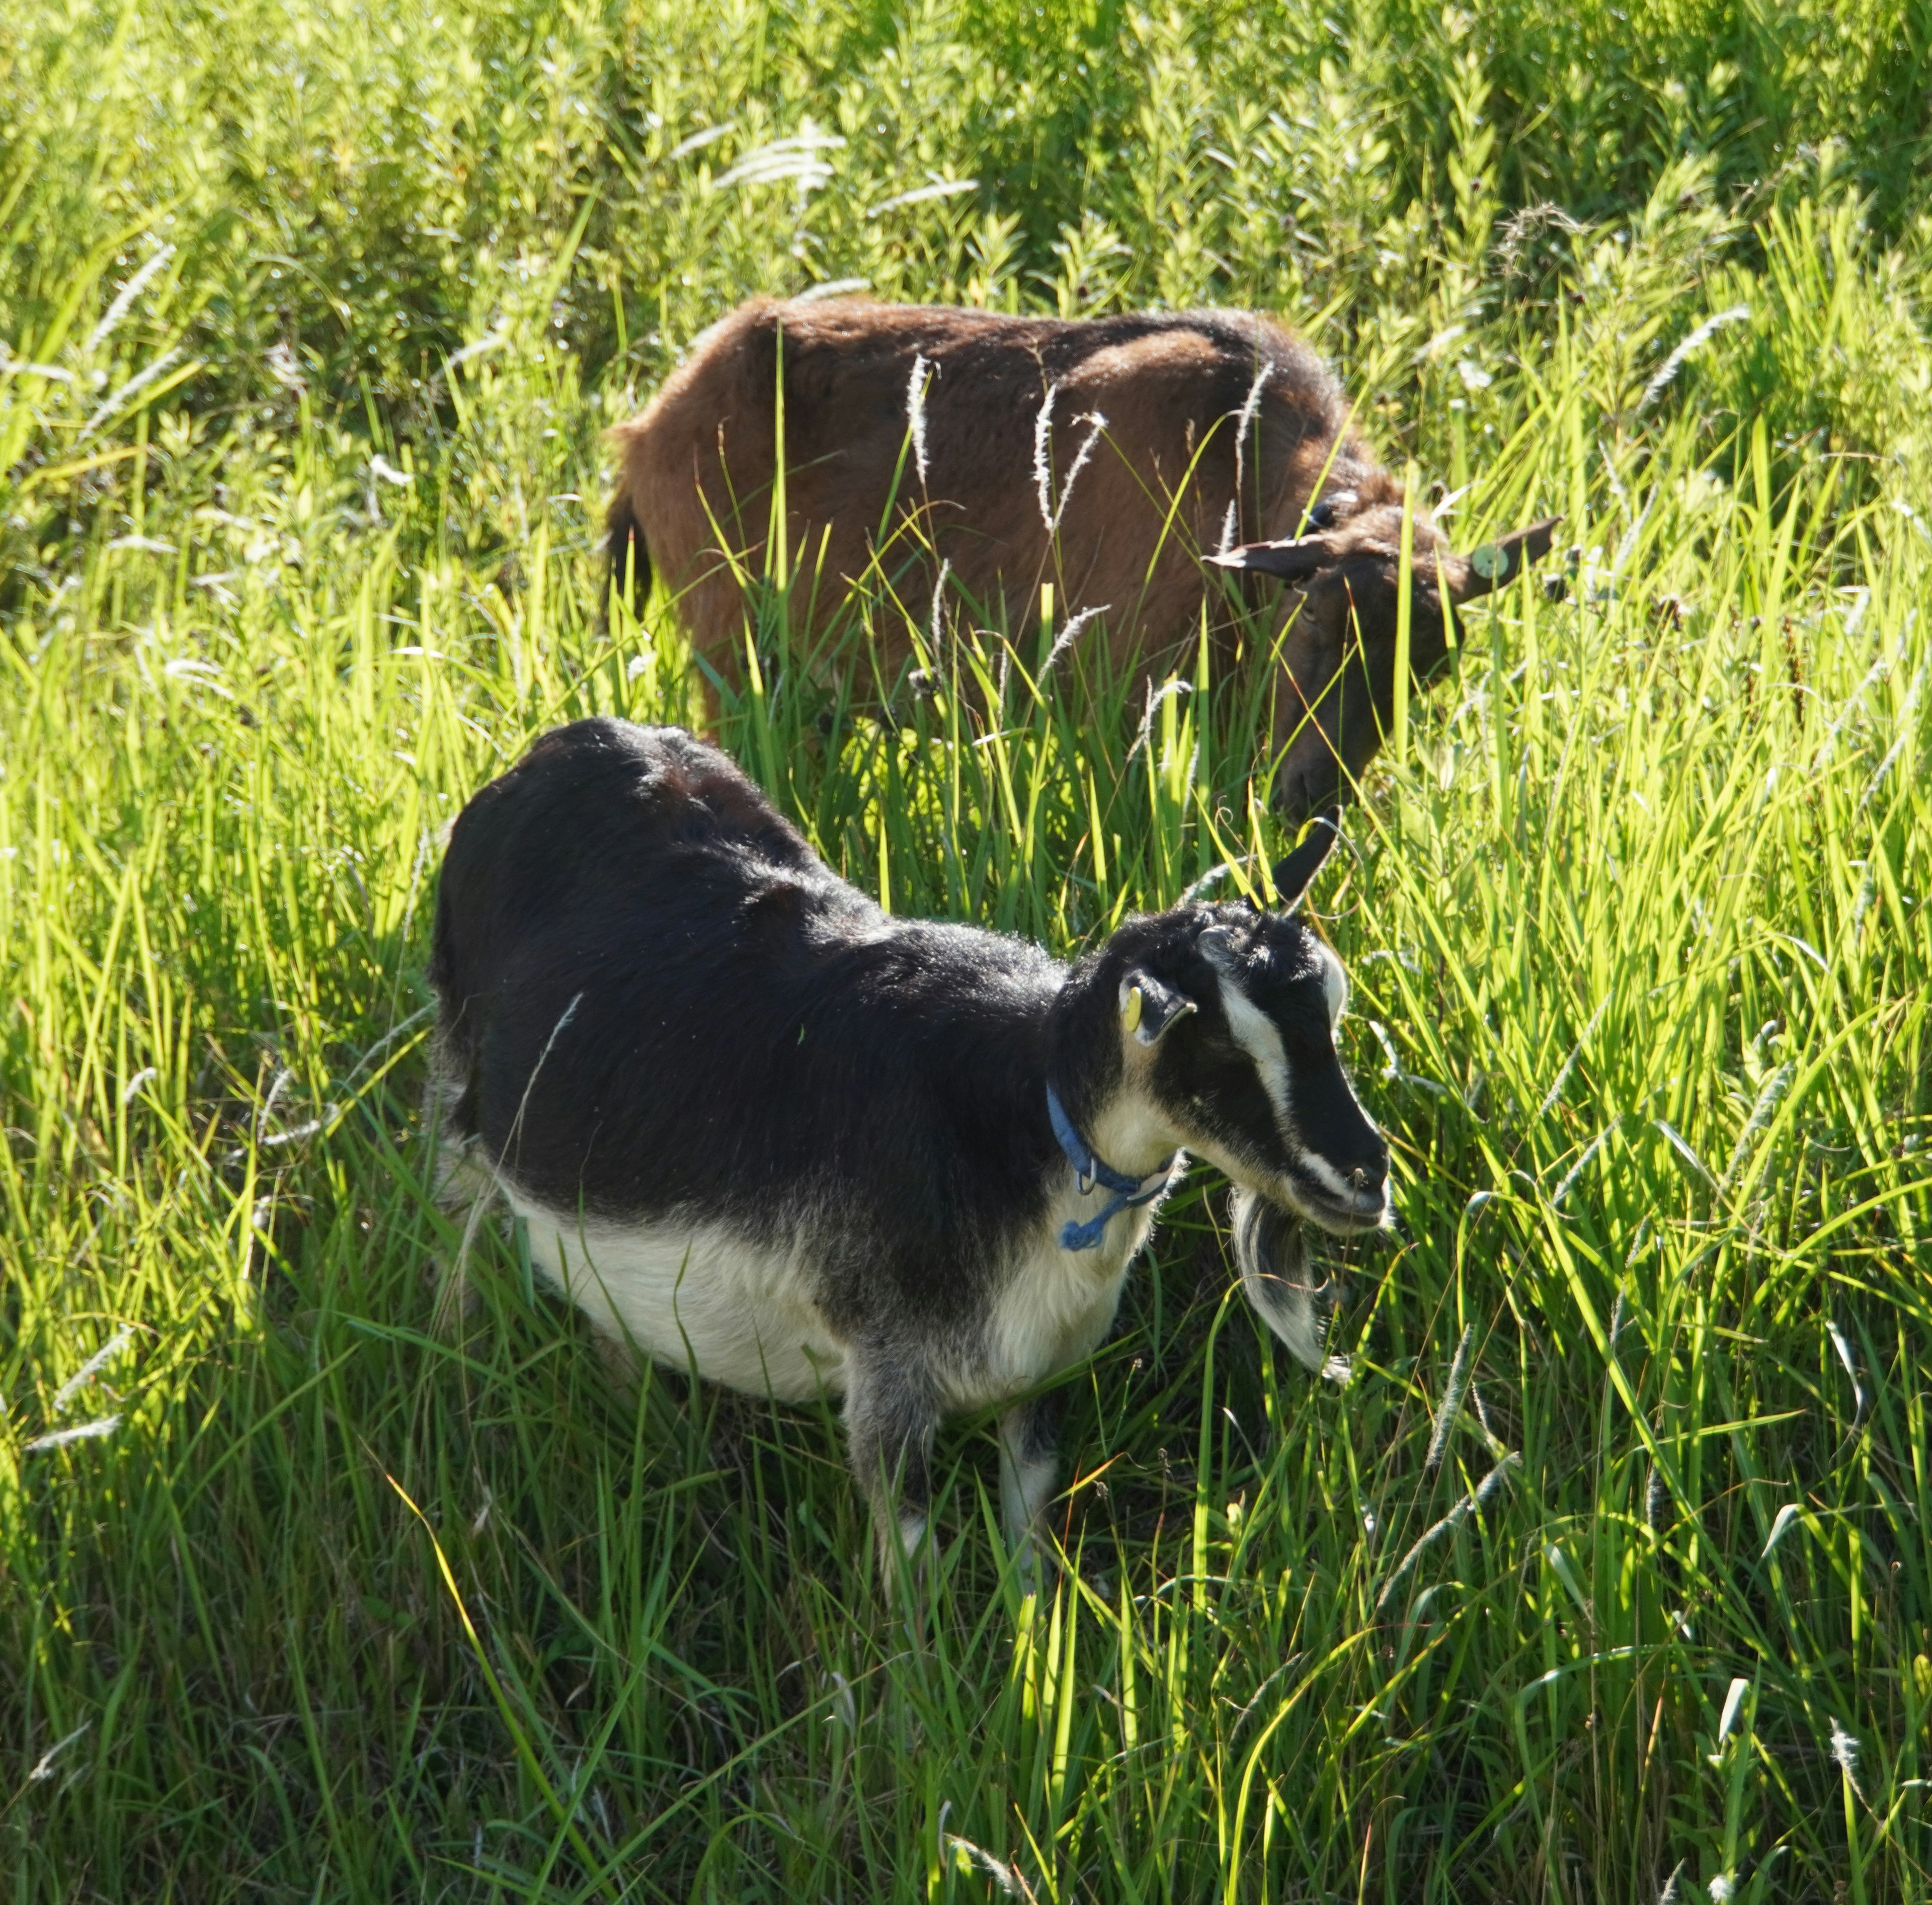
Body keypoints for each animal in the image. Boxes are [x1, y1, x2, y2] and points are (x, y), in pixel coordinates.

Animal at [429, 711, 1391, 1561]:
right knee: (460, 1241)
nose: (1365, 1175)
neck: (1022, 1123)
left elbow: (1028, 1531)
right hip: (460, 1100)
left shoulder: (1041, 1369)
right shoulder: (888, 1376)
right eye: (1222, 1047)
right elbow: (913, 1563)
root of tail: (564, 746)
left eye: (1332, 1011)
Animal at [606, 293, 1553, 811]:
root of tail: (649, 429)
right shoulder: (1122, 703)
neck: (1237, 462)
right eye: (1315, 614)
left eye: (1434, 660)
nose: (1314, 796)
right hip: (738, 665)